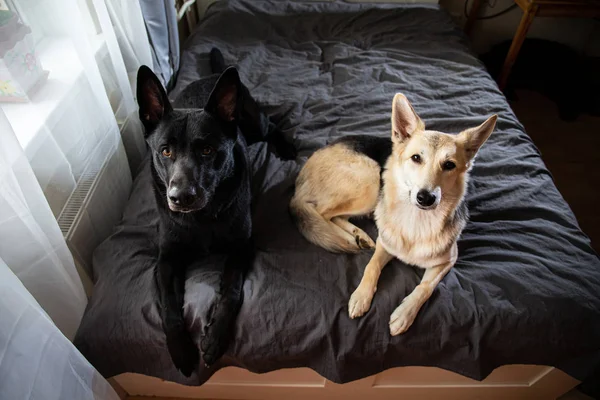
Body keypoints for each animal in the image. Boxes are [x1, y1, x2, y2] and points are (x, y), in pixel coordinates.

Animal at [137, 48, 296, 376]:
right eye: (165, 151)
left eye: (207, 151)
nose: (181, 197)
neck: (201, 218)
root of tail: (213, 76)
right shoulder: (166, 258)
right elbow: (169, 305)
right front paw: (181, 350)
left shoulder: (241, 247)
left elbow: (231, 291)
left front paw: (215, 337)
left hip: (253, 123)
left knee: (273, 126)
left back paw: (286, 147)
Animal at [290, 93, 496, 334]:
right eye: (416, 158)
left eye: (449, 165)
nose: (425, 198)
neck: (416, 221)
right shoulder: (385, 245)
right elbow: (371, 267)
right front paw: (360, 296)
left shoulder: (447, 261)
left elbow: (425, 287)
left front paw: (404, 314)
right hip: (370, 179)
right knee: (322, 213)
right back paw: (349, 238)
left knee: (336, 216)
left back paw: (359, 235)